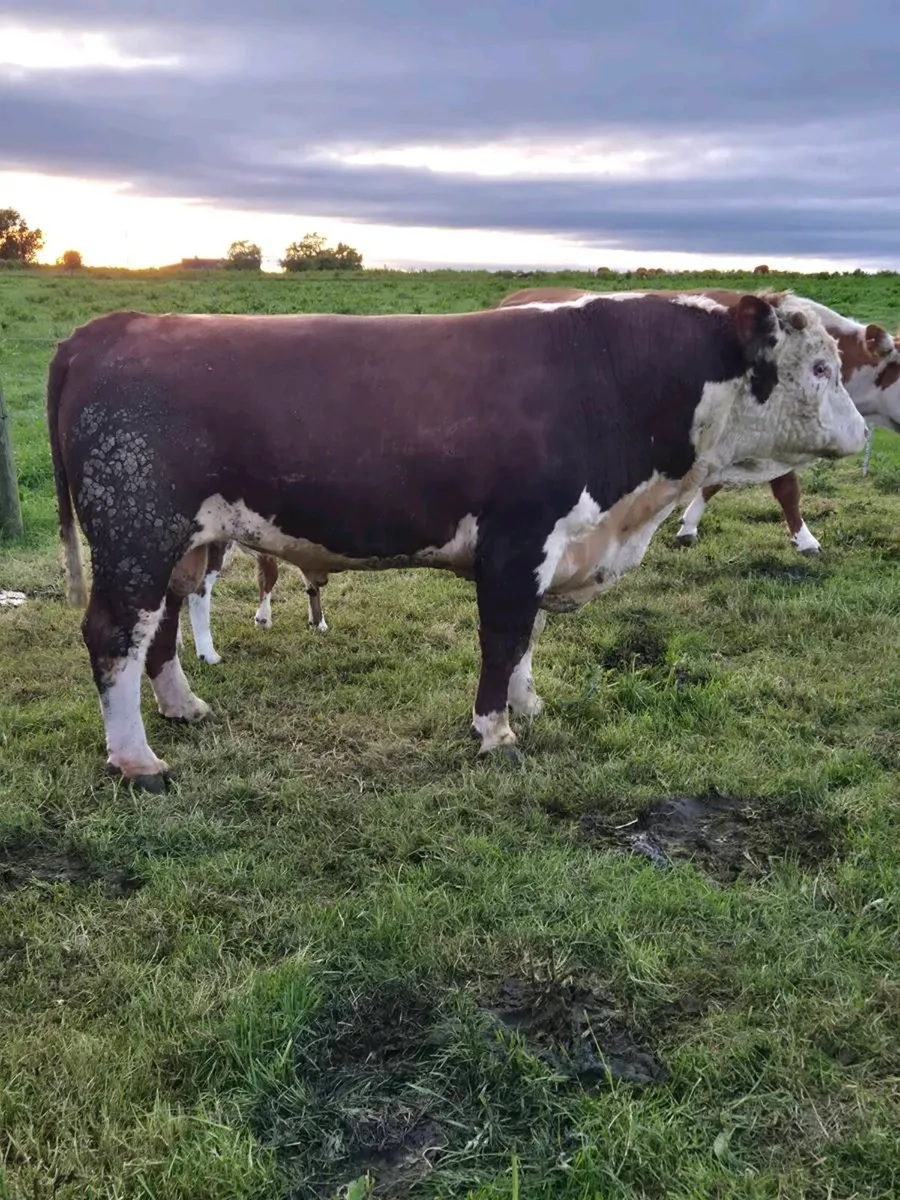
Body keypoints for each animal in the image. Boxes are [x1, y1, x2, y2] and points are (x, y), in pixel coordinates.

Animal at [48, 292, 865, 789]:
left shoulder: (550, 548)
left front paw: (529, 706)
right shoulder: (516, 542)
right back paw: (136, 758)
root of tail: (117, 323)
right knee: (114, 634)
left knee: (158, 631)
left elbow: (527, 637)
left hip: (180, 545)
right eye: (821, 367)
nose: (862, 432)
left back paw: (183, 707)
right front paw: (494, 730)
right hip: (136, 530)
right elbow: (503, 638)